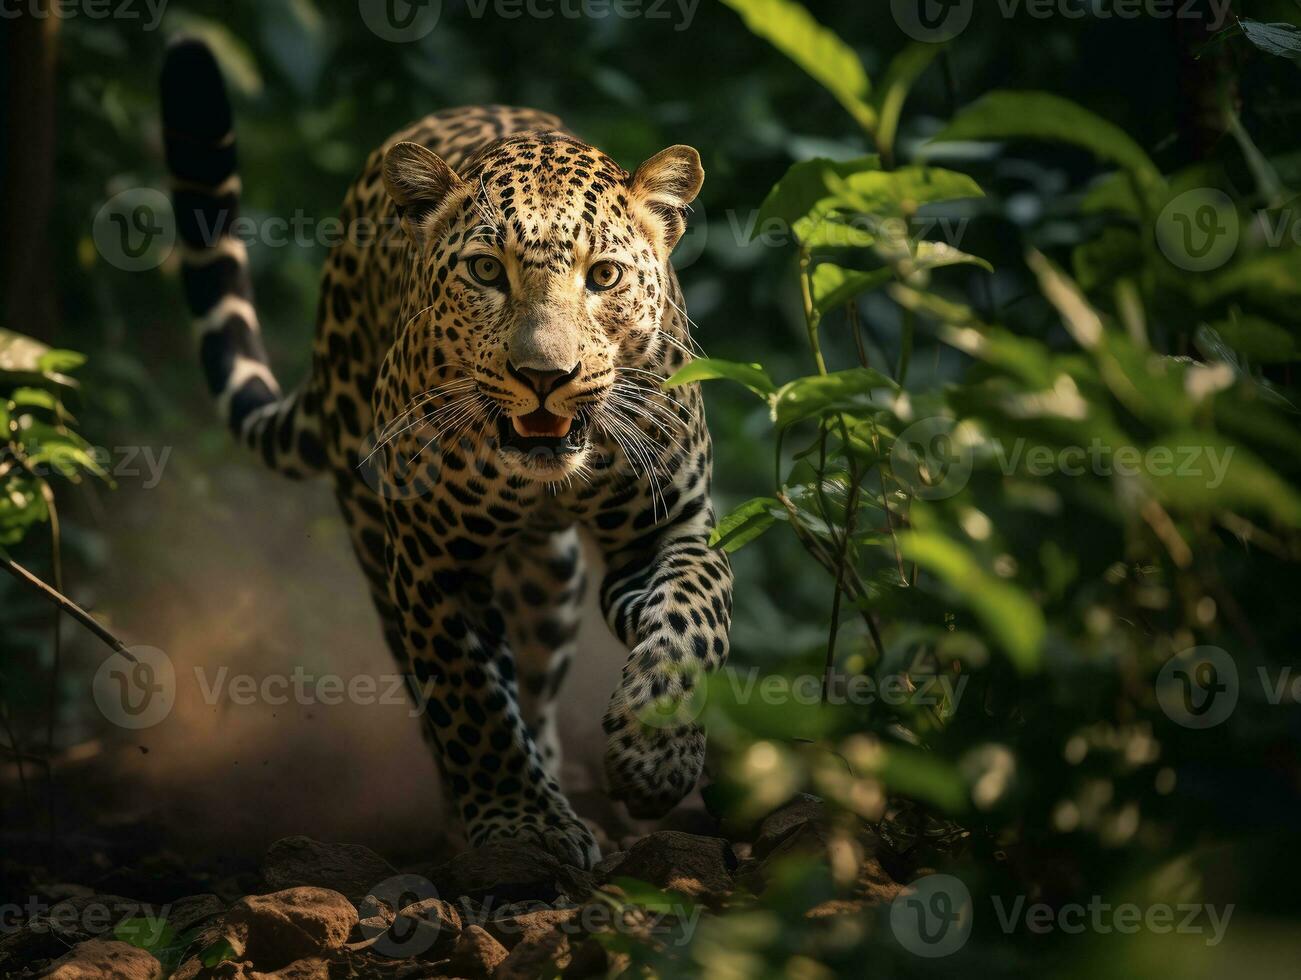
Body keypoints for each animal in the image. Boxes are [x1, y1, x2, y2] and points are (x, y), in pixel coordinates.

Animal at [160, 36, 733, 864]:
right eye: (486, 271)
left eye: (604, 276)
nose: (544, 377)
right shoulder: (434, 563)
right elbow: (471, 699)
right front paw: (520, 826)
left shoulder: (668, 527)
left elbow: (695, 611)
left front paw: (656, 755)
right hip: (375, 536)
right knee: (434, 686)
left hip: (549, 580)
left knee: (537, 676)